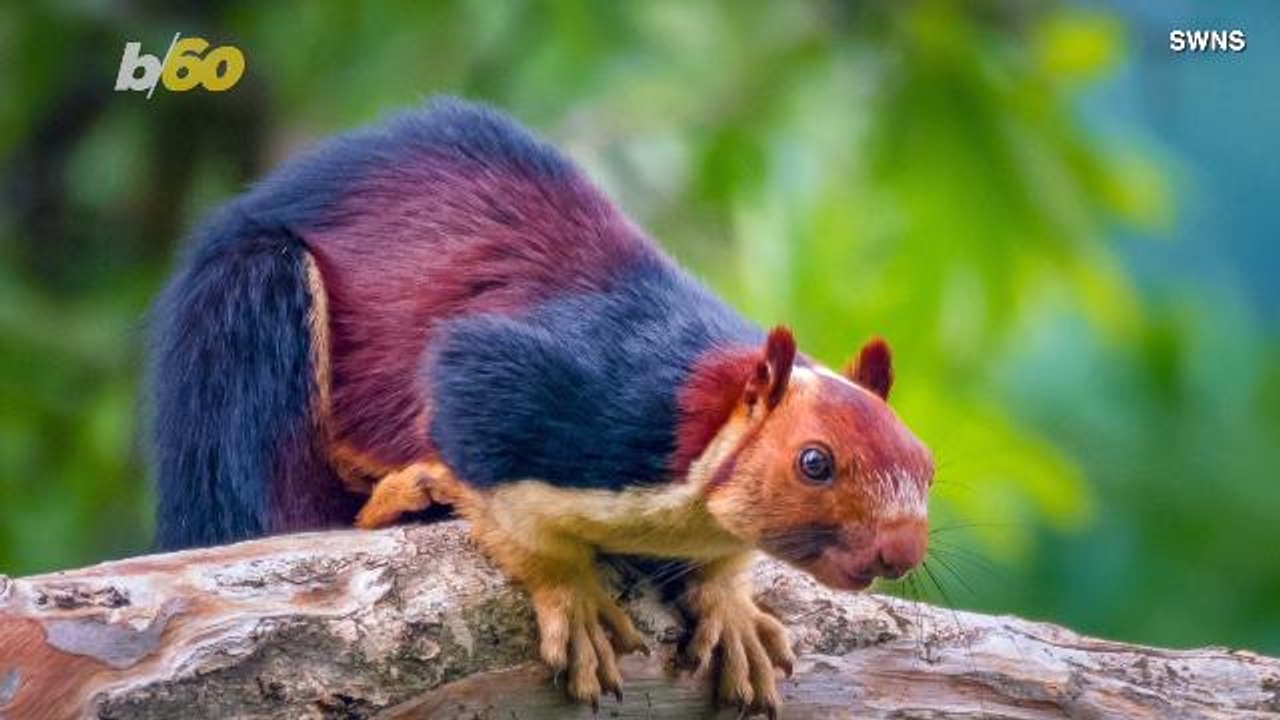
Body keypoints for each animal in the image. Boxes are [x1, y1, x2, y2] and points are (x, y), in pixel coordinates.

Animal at [148, 97, 934, 715]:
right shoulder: (549, 392)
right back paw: (404, 497)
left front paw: (730, 604)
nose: (902, 549)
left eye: (927, 464)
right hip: (249, 316)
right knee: (275, 513)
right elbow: (502, 486)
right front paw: (571, 594)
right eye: (814, 462)